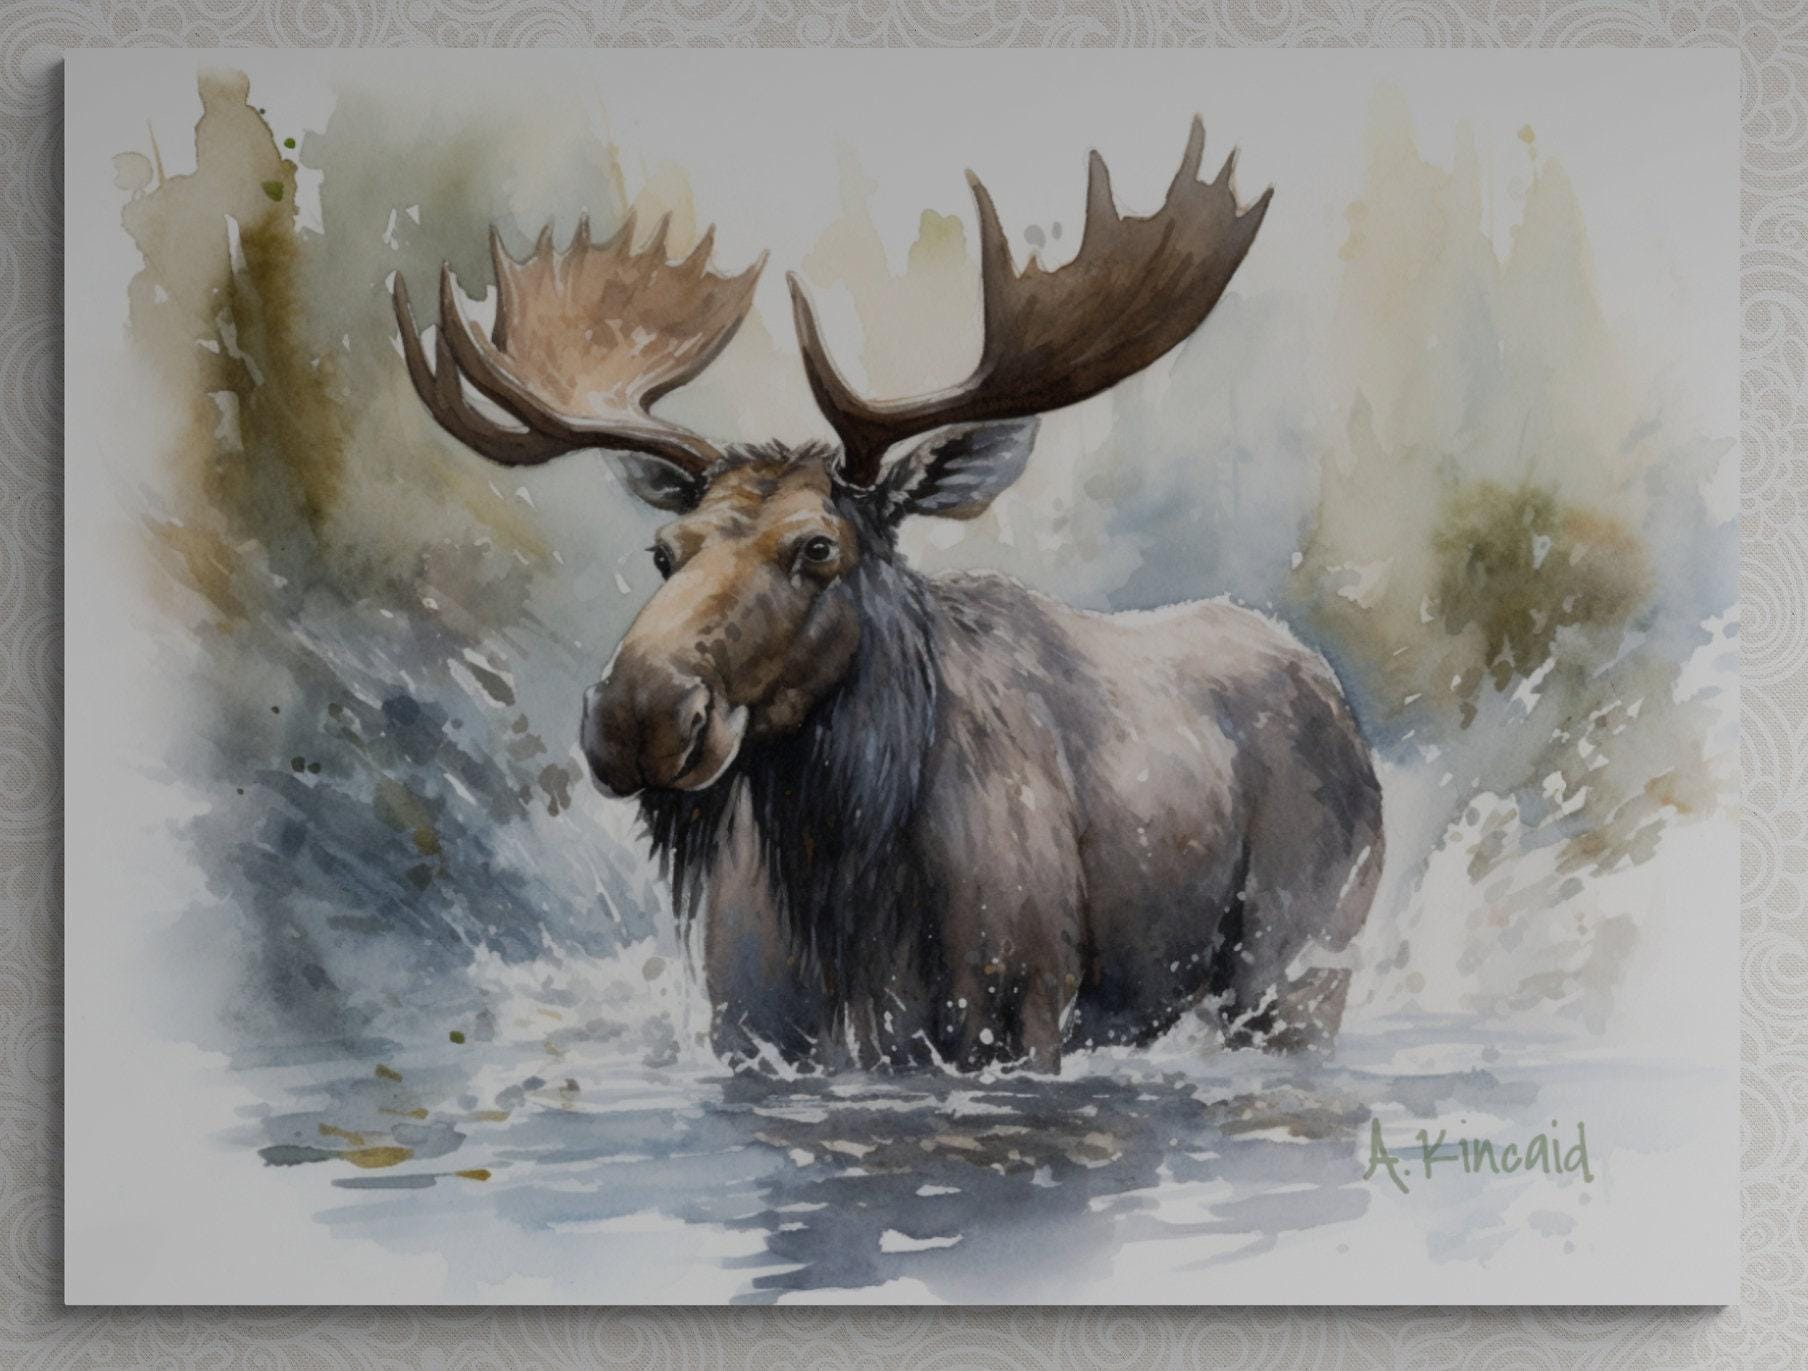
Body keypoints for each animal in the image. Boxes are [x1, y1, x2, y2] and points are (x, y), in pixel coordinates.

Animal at [392, 120, 1384, 1073]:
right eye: (664, 550)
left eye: (818, 546)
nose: (638, 713)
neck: (854, 914)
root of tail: (1328, 687)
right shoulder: (750, 1030)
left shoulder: (1021, 1014)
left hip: (1299, 968)